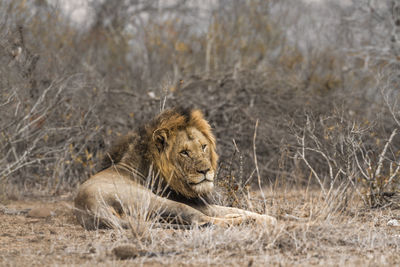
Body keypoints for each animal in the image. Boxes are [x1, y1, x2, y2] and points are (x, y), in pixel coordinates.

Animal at [73, 107, 276, 230]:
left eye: (203, 147)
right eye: (184, 152)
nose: (205, 171)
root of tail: (93, 208)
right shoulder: (198, 204)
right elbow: (226, 210)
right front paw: (266, 218)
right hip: (159, 202)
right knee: (202, 220)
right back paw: (243, 221)